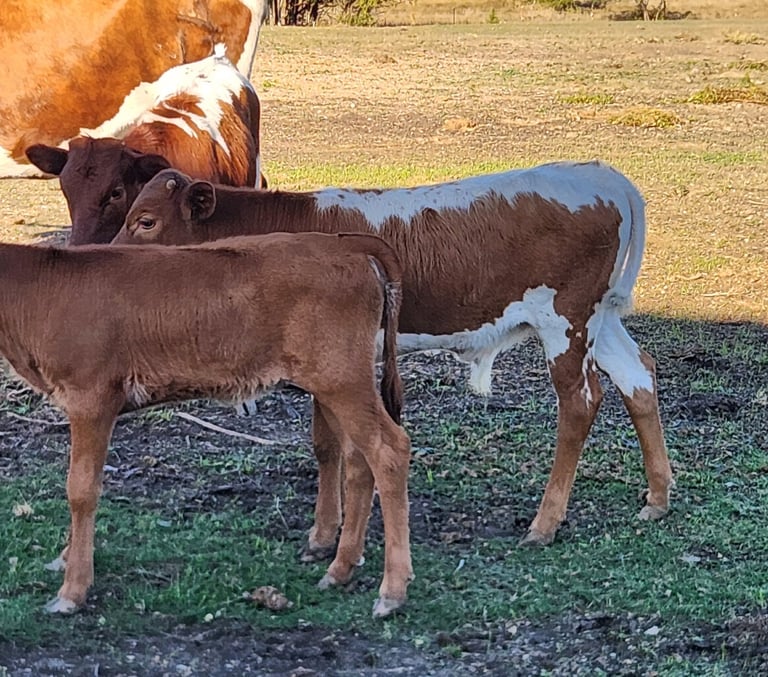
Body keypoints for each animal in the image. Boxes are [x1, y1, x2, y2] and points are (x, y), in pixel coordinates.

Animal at [0, 233, 412, 618]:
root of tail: (344, 243)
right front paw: (65, 558)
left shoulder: (92, 396)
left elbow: (81, 488)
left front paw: (73, 591)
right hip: (333, 381)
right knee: (357, 459)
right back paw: (340, 566)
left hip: (341, 376)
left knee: (389, 450)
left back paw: (391, 591)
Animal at [115, 161, 675, 555]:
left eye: (145, 221)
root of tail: (601, 174)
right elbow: (327, 445)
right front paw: (326, 533)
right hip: (599, 320)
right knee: (638, 375)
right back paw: (658, 498)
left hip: (565, 320)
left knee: (580, 402)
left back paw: (546, 523)